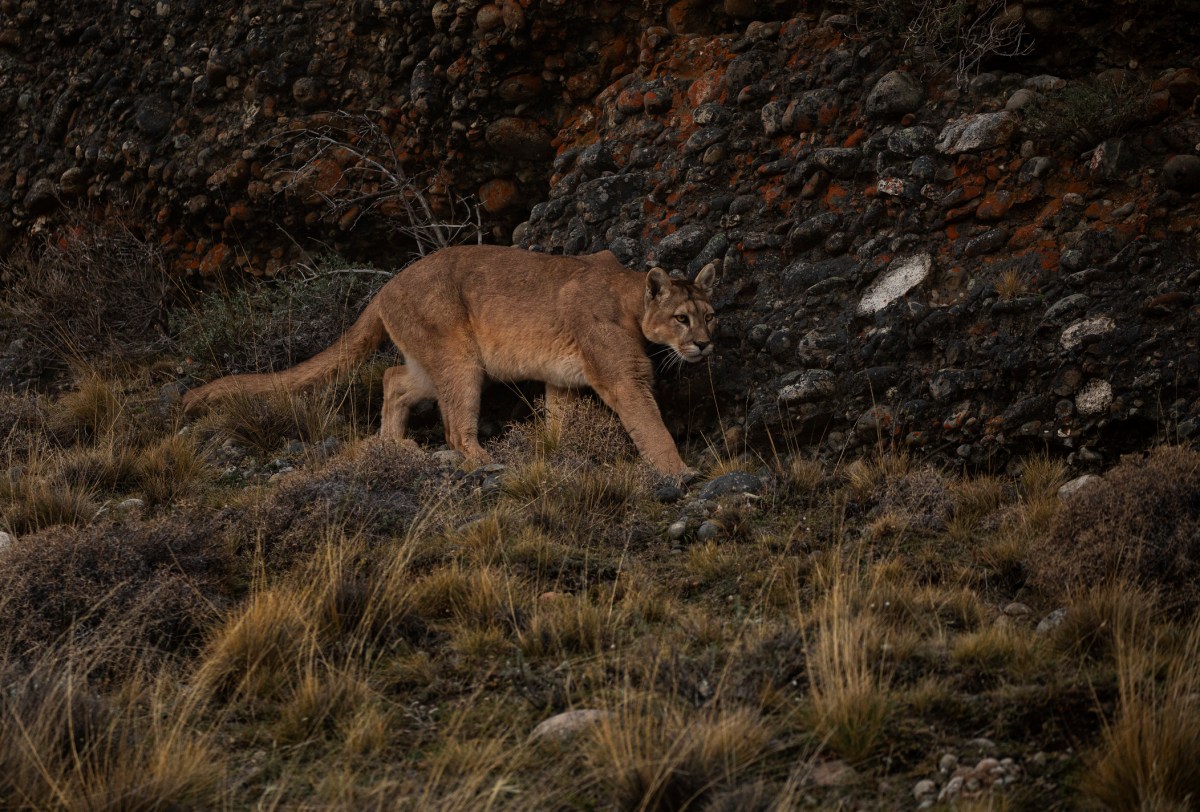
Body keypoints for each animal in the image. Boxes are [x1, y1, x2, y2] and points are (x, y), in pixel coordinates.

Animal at [182, 245, 717, 476]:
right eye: (681, 318)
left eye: (711, 315)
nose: (706, 344)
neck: (629, 298)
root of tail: (386, 287)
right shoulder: (624, 377)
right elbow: (651, 425)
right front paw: (681, 473)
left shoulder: (562, 379)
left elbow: (562, 419)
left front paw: (560, 452)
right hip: (461, 359)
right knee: (455, 426)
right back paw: (485, 461)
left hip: (434, 361)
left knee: (395, 378)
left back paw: (393, 445)